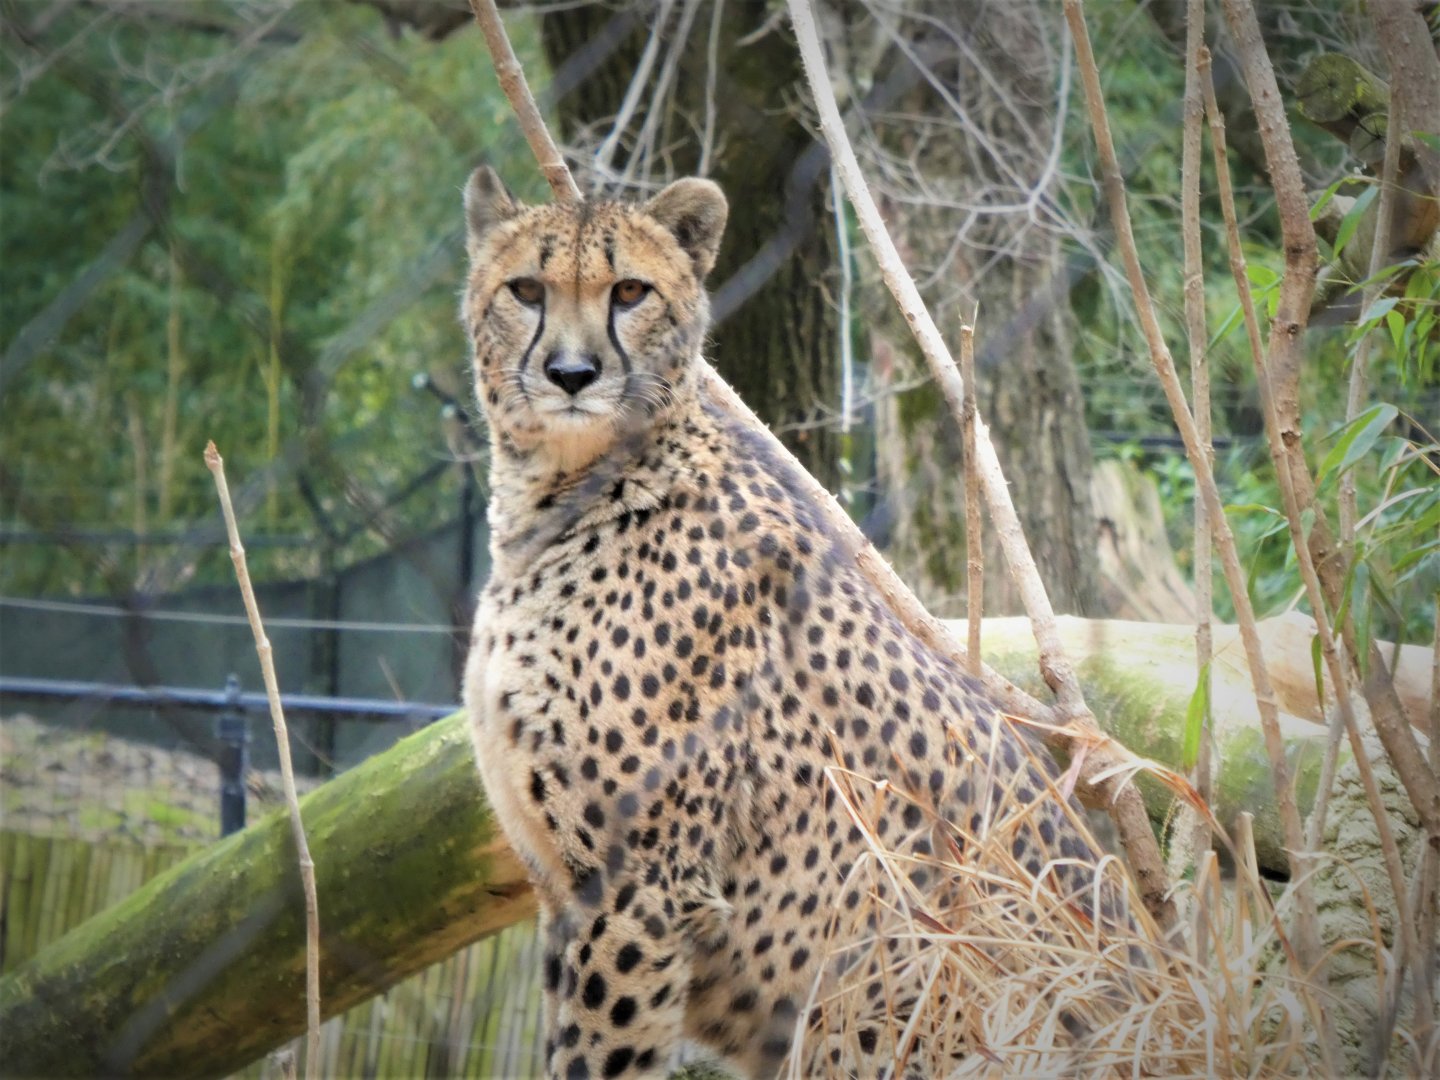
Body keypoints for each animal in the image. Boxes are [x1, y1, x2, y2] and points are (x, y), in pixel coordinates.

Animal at [460, 166, 1131, 1080]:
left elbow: (598, 1055)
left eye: (629, 291)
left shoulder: (639, 888)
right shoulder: (563, 887)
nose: (571, 372)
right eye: (525, 290)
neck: (565, 495)